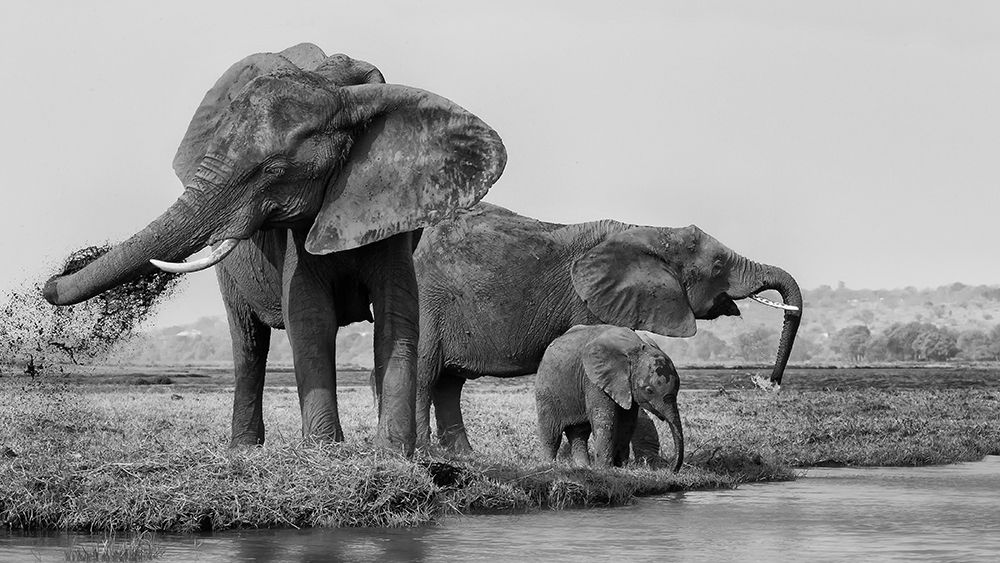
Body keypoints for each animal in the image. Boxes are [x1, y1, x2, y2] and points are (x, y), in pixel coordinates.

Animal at [42, 43, 507, 455]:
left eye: (275, 170)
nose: (52, 281)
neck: (338, 90)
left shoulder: (396, 211)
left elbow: (397, 315)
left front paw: (393, 456)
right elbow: (308, 314)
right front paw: (324, 451)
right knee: (248, 345)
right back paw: (244, 450)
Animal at [413, 202, 801, 452]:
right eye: (719, 265)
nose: (768, 382)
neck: (651, 233)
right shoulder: (590, 302)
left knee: (449, 385)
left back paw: (464, 458)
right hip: (426, 302)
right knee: (425, 375)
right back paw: (425, 455)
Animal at [535, 325, 684, 470]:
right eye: (649, 390)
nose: (672, 469)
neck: (636, 347)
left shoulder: (626, 386)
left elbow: (628, 421)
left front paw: (621, 466)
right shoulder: (594, 379)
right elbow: (605, 418)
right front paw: (604, 468)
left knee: (579, 433)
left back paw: (583, 466)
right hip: (547, 390)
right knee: (551, 432)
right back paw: (548, 465)